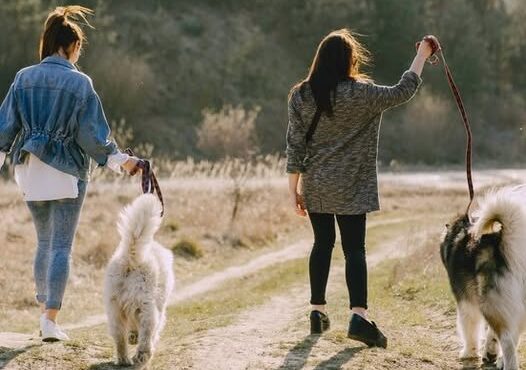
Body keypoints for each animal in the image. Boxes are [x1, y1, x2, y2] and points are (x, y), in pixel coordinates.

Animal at [104, 194, 176, 368]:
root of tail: (130, 259)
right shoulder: (159, 309)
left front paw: (132, 336)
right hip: (147, 307)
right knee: (146, 335)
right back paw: (142, 356)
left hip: (114, 309)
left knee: (119, 338)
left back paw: (124, 360)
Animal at [444, 188, 526, 370]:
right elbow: (491, 334)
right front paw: (490, 352)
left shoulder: (465, 302)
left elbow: (469, 329)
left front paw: (469, 352)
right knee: (512, 335)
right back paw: (500, 359)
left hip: (490, 303)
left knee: (508, 340)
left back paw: (508, 364)